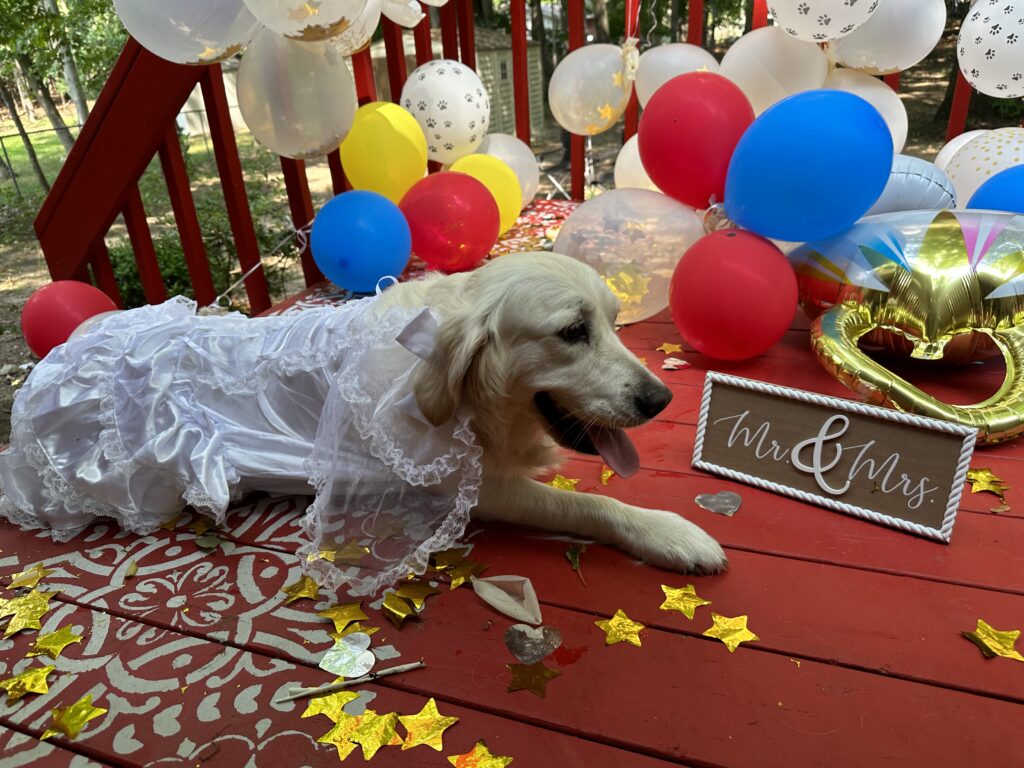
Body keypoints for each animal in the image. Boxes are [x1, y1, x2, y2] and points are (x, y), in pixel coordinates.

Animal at [381, 252, 727, 575]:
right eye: (573, 331)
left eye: (614, 321)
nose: (662, 400)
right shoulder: (475, 491)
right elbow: (588, 503)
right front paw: (665, 531)